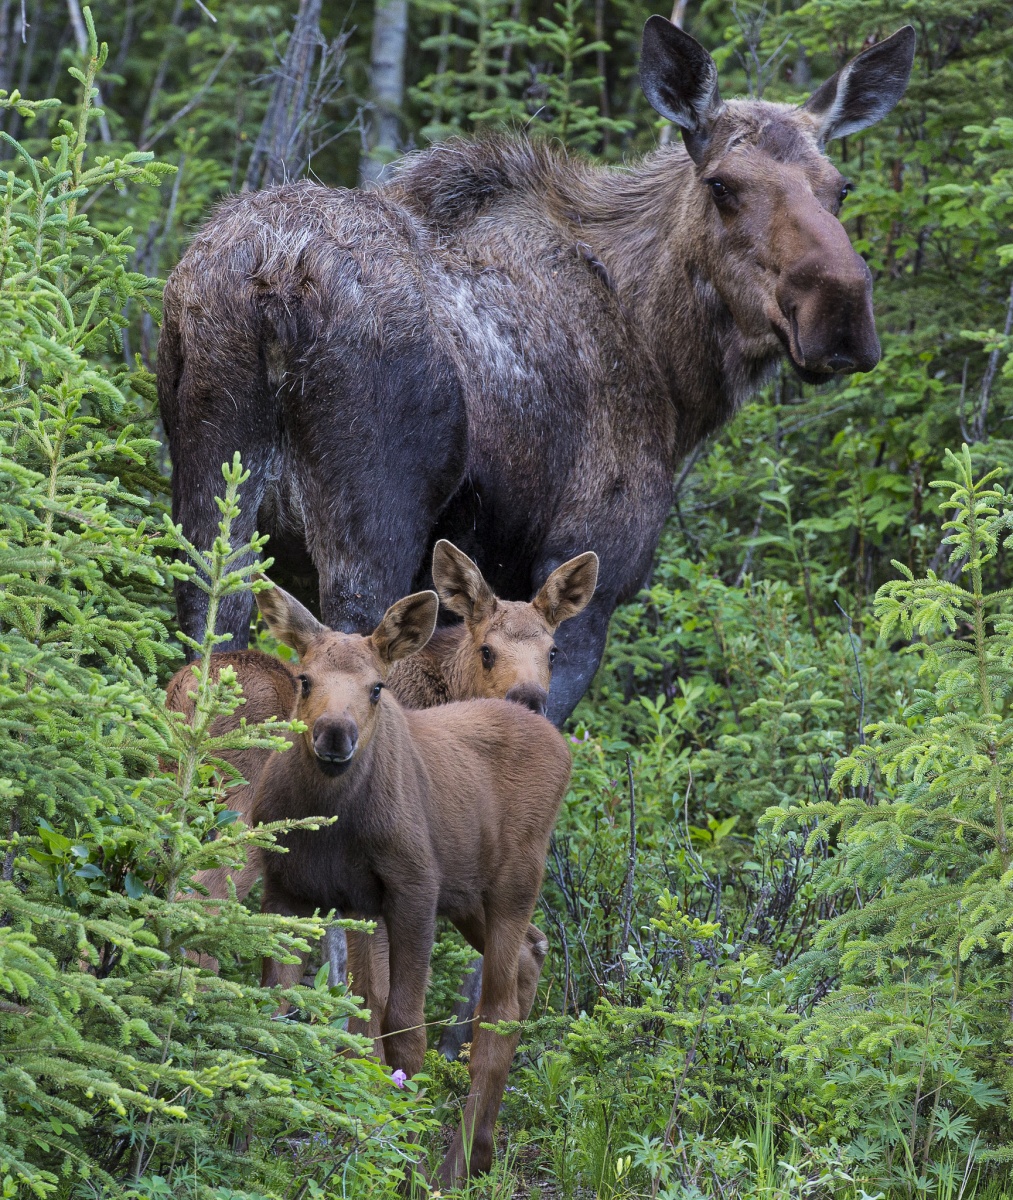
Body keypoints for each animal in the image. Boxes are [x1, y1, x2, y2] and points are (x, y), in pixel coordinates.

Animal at [160, 21, 916, 720]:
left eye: (839, 187)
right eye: (723, 185)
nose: (840, 310)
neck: (672, 375)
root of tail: (271, 277)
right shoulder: (588, 567)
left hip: (212, 503)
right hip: (369, 528)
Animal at [250, 580, 573, 1180]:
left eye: (376, 687)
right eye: (304, 679)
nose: (335, 734)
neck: (329, 822)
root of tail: (554, 735)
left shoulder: (414, 891)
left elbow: (404, 1026)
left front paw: (400, 1154)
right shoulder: (293, 893)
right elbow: (285, 1012)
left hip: (515, 882)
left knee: (496, 1014)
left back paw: (452, 1168)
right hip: (468, 896)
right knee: (529, 956)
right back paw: (481, 1151)